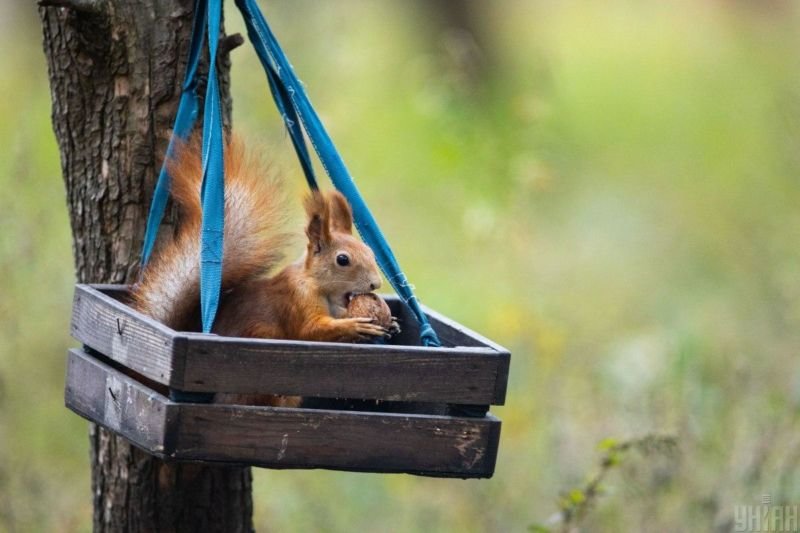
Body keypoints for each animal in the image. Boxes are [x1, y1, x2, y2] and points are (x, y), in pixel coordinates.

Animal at [130, 135, 390, 402]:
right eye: (342, 260)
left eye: (370, 251)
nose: (376, 284)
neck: (318, 286)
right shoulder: (297, 300)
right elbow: (310, 330)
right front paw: (355, 325)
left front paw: (392, 323)